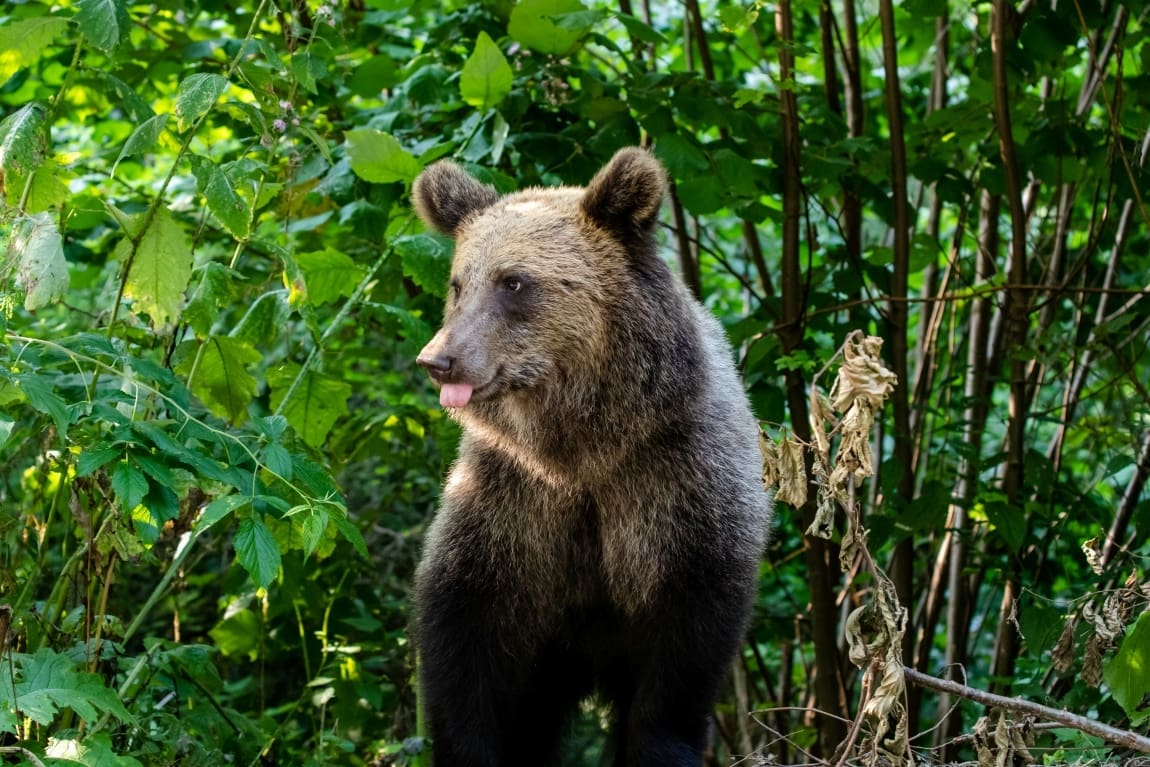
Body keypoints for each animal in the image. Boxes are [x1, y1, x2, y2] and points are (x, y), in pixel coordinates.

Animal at [414, 148, 772, 767]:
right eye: (459, 283)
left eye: (514, 281)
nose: (439, 359)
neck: (580, 447)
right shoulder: (511, 501)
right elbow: (465, 639)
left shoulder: (675, 486)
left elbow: (681, 655)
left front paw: (662, 746)